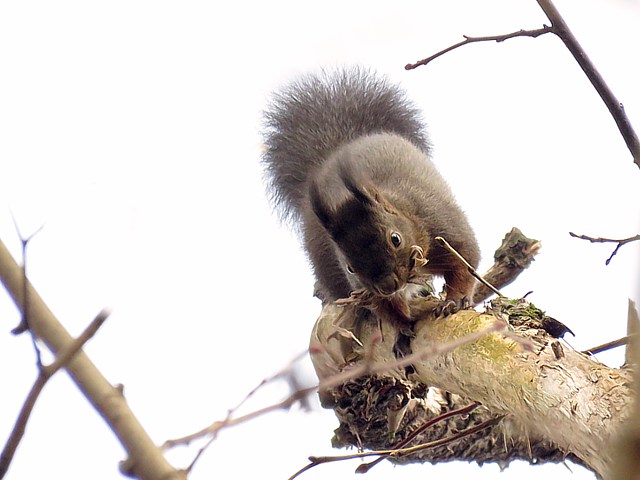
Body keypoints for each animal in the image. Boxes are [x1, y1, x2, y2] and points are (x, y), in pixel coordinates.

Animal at [262, 68, 480, 316]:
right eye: (350, 267)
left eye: (395, 239)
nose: (387, 286)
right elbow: (386, 309)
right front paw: (402, 321)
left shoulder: (445, 229)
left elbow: (465, 261)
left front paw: (455, 299)